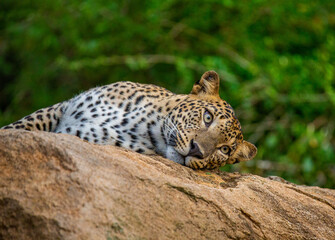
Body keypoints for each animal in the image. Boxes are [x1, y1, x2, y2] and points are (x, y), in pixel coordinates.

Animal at [1, 70, 258, 170]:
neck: (145, 122)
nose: (197, 150)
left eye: (224, 150)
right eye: (207, 117)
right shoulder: (63, 108)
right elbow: (23, 126)